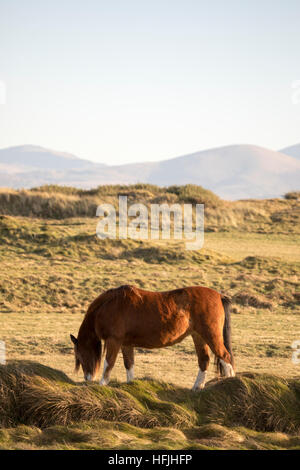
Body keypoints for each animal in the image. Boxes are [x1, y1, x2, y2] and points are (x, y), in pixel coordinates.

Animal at [70, 284, 234, 392]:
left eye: (80, 356)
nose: (87, 378)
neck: (109, 305)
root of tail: (219, 296)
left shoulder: (114, 341)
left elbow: (108, 363)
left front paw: (102, 384)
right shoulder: (126, 344)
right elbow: (129, 364)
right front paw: (130, 385)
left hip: (211, 335)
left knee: (225, 356)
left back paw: (230, 384)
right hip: (198, 336)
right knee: (204, 360)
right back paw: (197, 387)